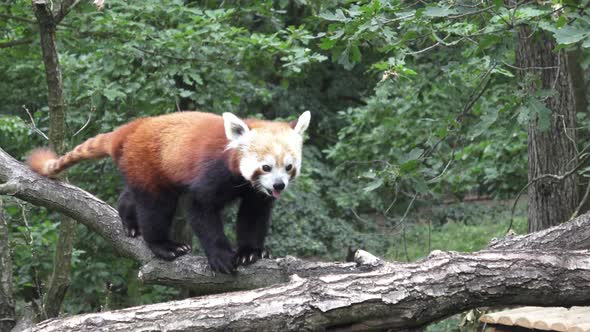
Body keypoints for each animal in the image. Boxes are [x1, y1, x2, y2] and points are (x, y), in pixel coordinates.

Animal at [26, 110, 314, 274]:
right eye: (266, 167)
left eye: (289, 167)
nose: (278, 185)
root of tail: (131, 128)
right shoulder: (213, 172)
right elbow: (200, 208)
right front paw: (221, 256)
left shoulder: (255, 192)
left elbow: (254, 215)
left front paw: (251, 252)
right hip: (149, 162)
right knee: (156, 205)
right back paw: (163, 245)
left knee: (133, 195)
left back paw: (129, 219)